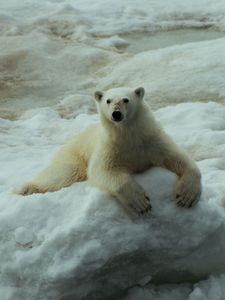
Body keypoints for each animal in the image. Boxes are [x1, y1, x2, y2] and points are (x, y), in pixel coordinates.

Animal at [17, 87, 200, 216]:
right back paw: (26, 188)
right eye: (108, 100)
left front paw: (185, 196)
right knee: (63, 173)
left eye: (126, 99)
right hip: (73, 155)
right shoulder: (109, 148)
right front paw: (141, 203)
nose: (116, 114)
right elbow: (102, 171)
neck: (129, 136)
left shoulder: (152, 141)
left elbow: (178, 158)